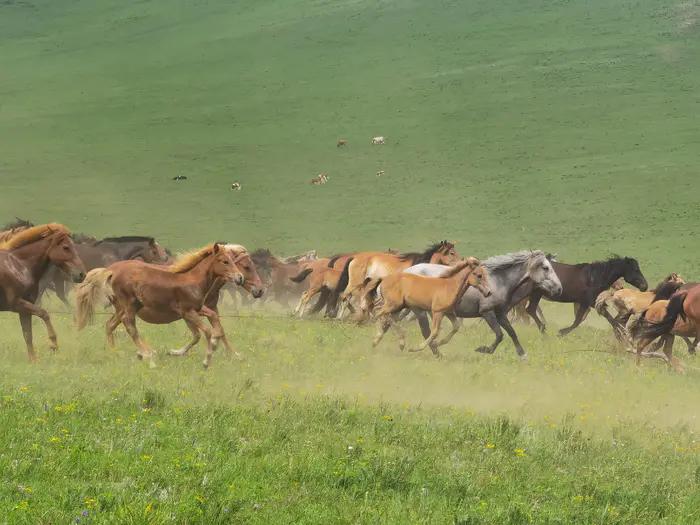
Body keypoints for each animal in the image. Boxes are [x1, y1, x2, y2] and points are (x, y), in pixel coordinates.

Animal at [0, 224, 86, 361]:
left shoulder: (24, 308)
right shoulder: (16, 304)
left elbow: (28, 335)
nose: (82, 274)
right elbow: (44, 313)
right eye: (66, 247)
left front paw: (33, 360)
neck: (18, 265)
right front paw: (53, 344)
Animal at [75, 243, 244, 368]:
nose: (240, 277)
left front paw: (175, 352)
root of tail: (109, 270)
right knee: (130, 327)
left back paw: (116, 353)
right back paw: (147, 355)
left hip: (123, 308)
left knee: (110, 325)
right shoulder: (188, 312)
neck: (192, 279)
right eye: (225, 261)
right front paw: (207, 360)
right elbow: (207, 332)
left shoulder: (193, 311)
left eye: (232, 260)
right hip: (129, 305)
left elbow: (201, 331)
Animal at [404, 251, 562, 358]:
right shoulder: (487, 312)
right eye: (545, 268)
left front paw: (522, 354)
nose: (559, 288)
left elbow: (511, 332)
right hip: (419, 311)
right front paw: (484, 350)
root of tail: (407, 271)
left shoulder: (500, 313)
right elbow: (499, 335)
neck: (498, 281)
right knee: (425, 331)